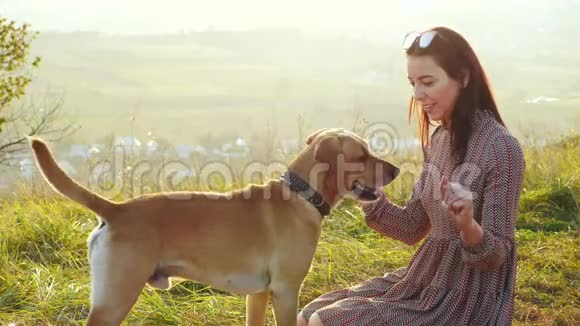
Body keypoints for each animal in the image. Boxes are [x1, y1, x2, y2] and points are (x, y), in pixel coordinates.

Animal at [30, 129, 398, 324]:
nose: (395, 170)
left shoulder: (259, 294)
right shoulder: (286, 290)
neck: (301, 195)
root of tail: (116, 210)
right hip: (115, 298)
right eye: (362, 154)